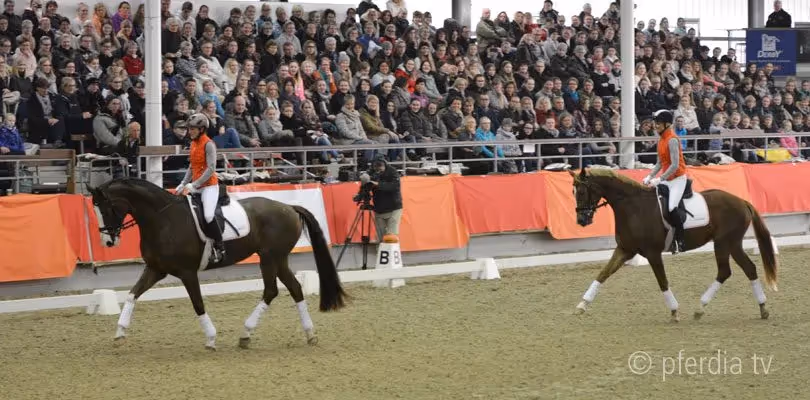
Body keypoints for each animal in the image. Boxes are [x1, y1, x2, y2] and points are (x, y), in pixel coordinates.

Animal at [88, 177, 347, 350]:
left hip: (269, 257)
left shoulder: (187, 272)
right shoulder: (155, 269)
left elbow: (198, 304)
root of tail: (289, 207)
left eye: (107, 208)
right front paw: (120, 331)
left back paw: (246, 333)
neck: (162, 219)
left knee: (271, 291)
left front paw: (211, 338)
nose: (108, 241)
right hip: (279, 258)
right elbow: (132, 294)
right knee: (294, 288)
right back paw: (309, 334)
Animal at [569, 168, 777, 322]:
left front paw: (674, 311)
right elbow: (603, 274)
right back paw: (761, 308)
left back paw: (701, 307)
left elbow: (662, 281)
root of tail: (742, 201)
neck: (633, 207)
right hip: (731, 244)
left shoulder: (652, 253)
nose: (581, 220)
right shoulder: (625, 250)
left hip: (724, 243)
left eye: (581, 191)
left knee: (726, 271)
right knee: (746, 269)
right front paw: (581, 306)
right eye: (573, 192)